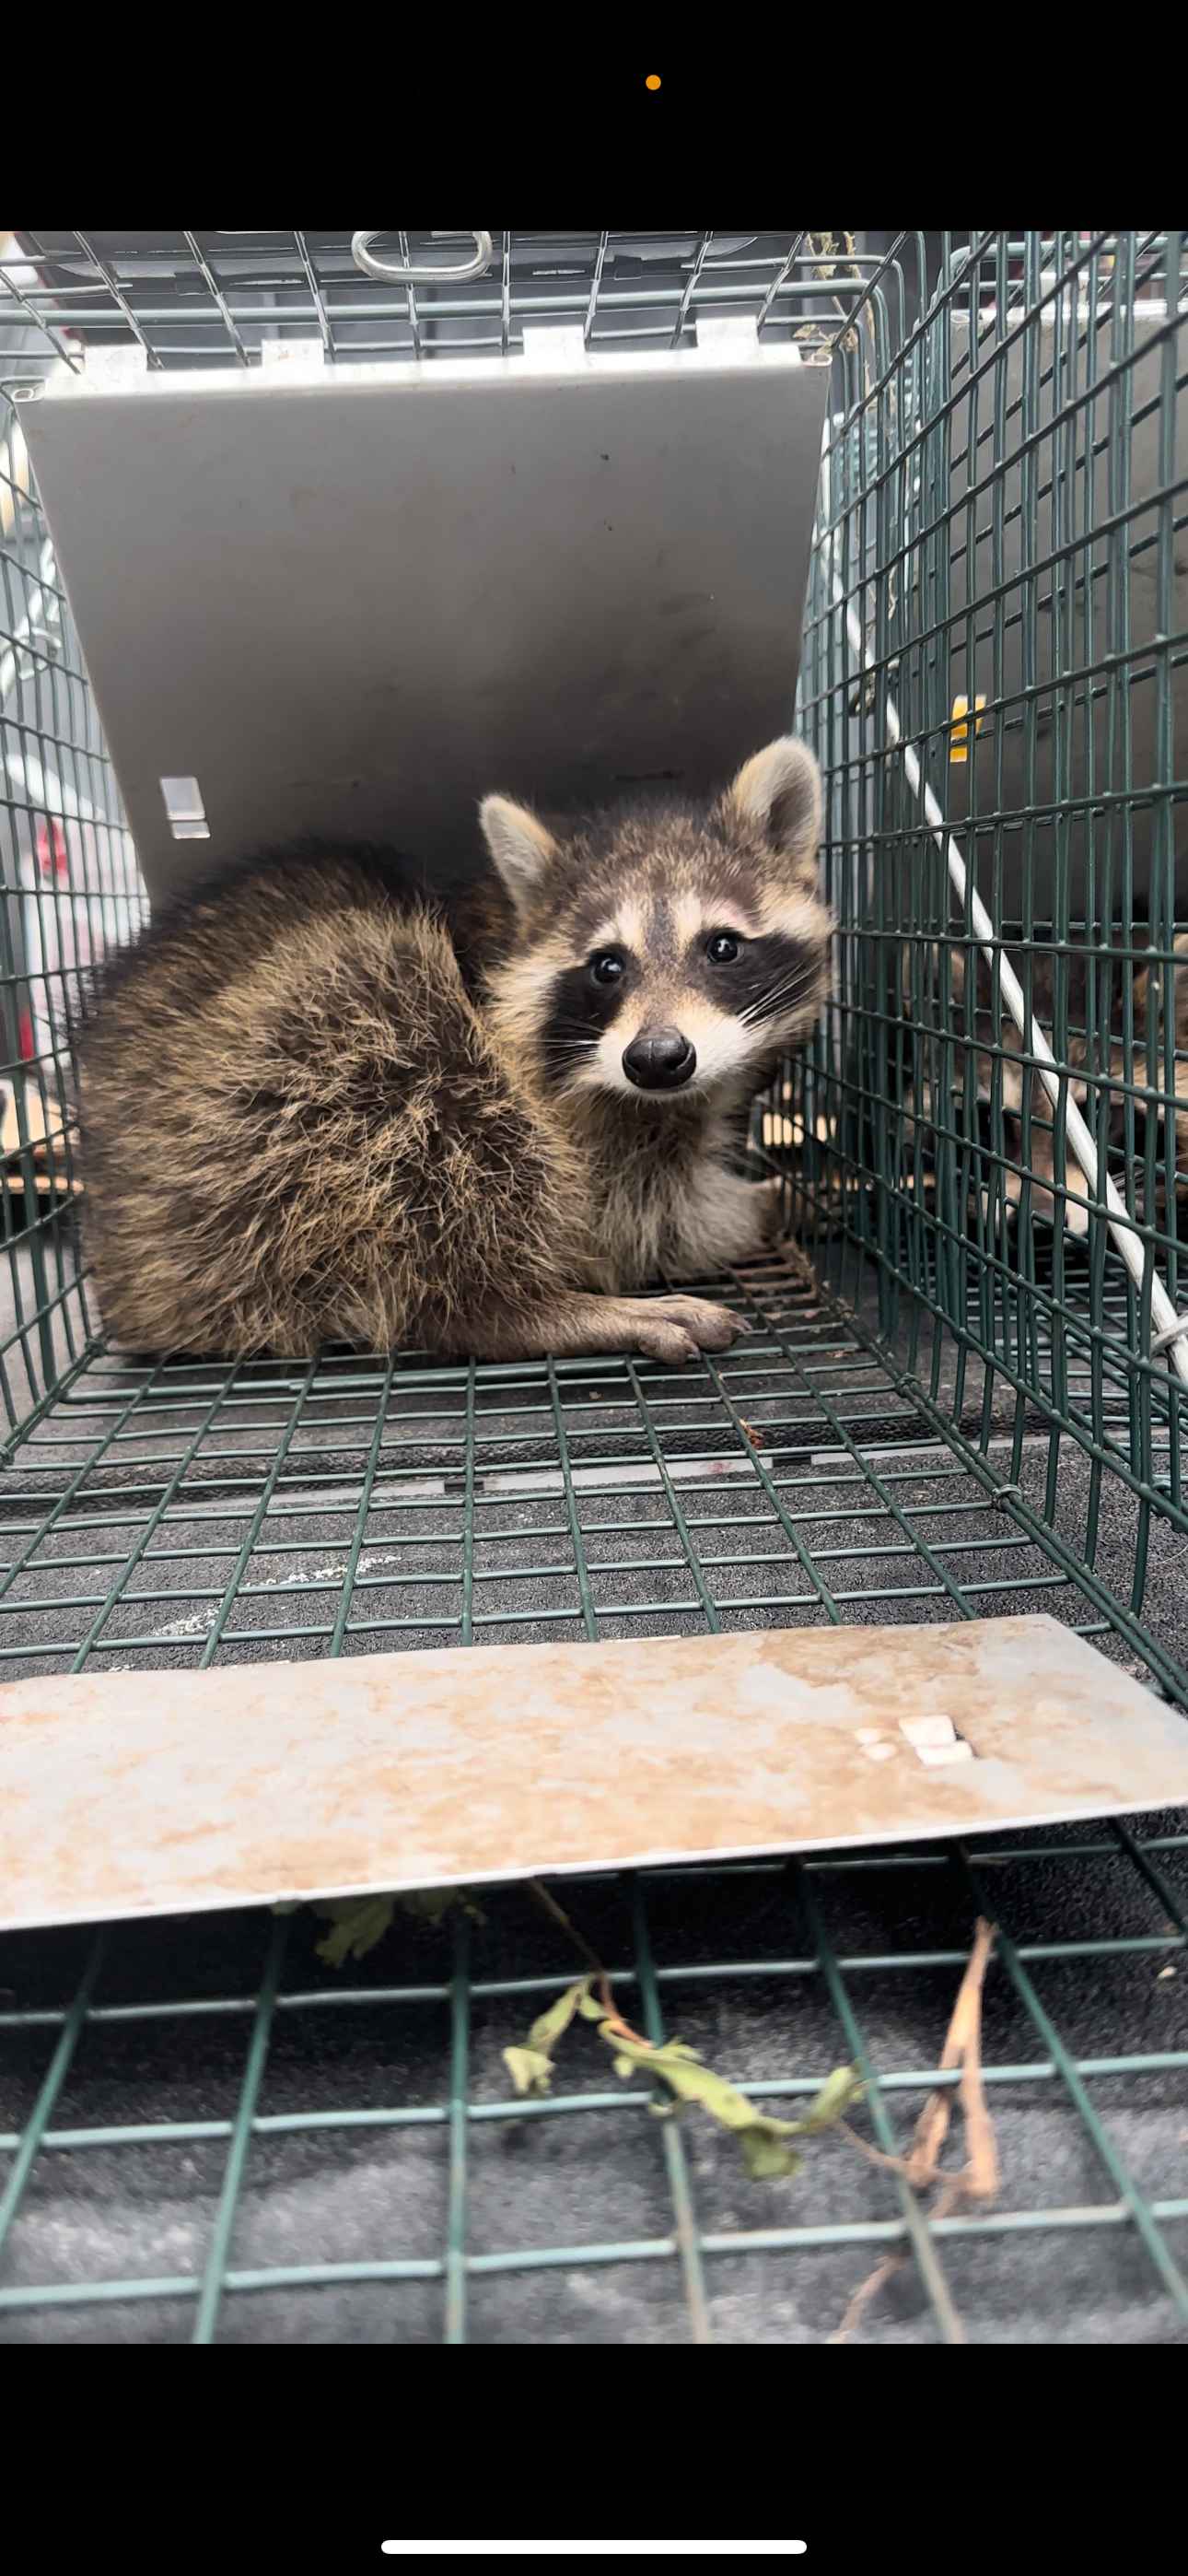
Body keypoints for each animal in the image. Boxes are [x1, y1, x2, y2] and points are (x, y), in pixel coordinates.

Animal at [76, 737, 832, 1366]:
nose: (656, 1058)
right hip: (273, 1087)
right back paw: (522, 1311)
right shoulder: (573, 1108)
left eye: (723, 947)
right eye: (607, 967)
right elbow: (638, 1221)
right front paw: (756, 1210)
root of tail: (123, 1267)